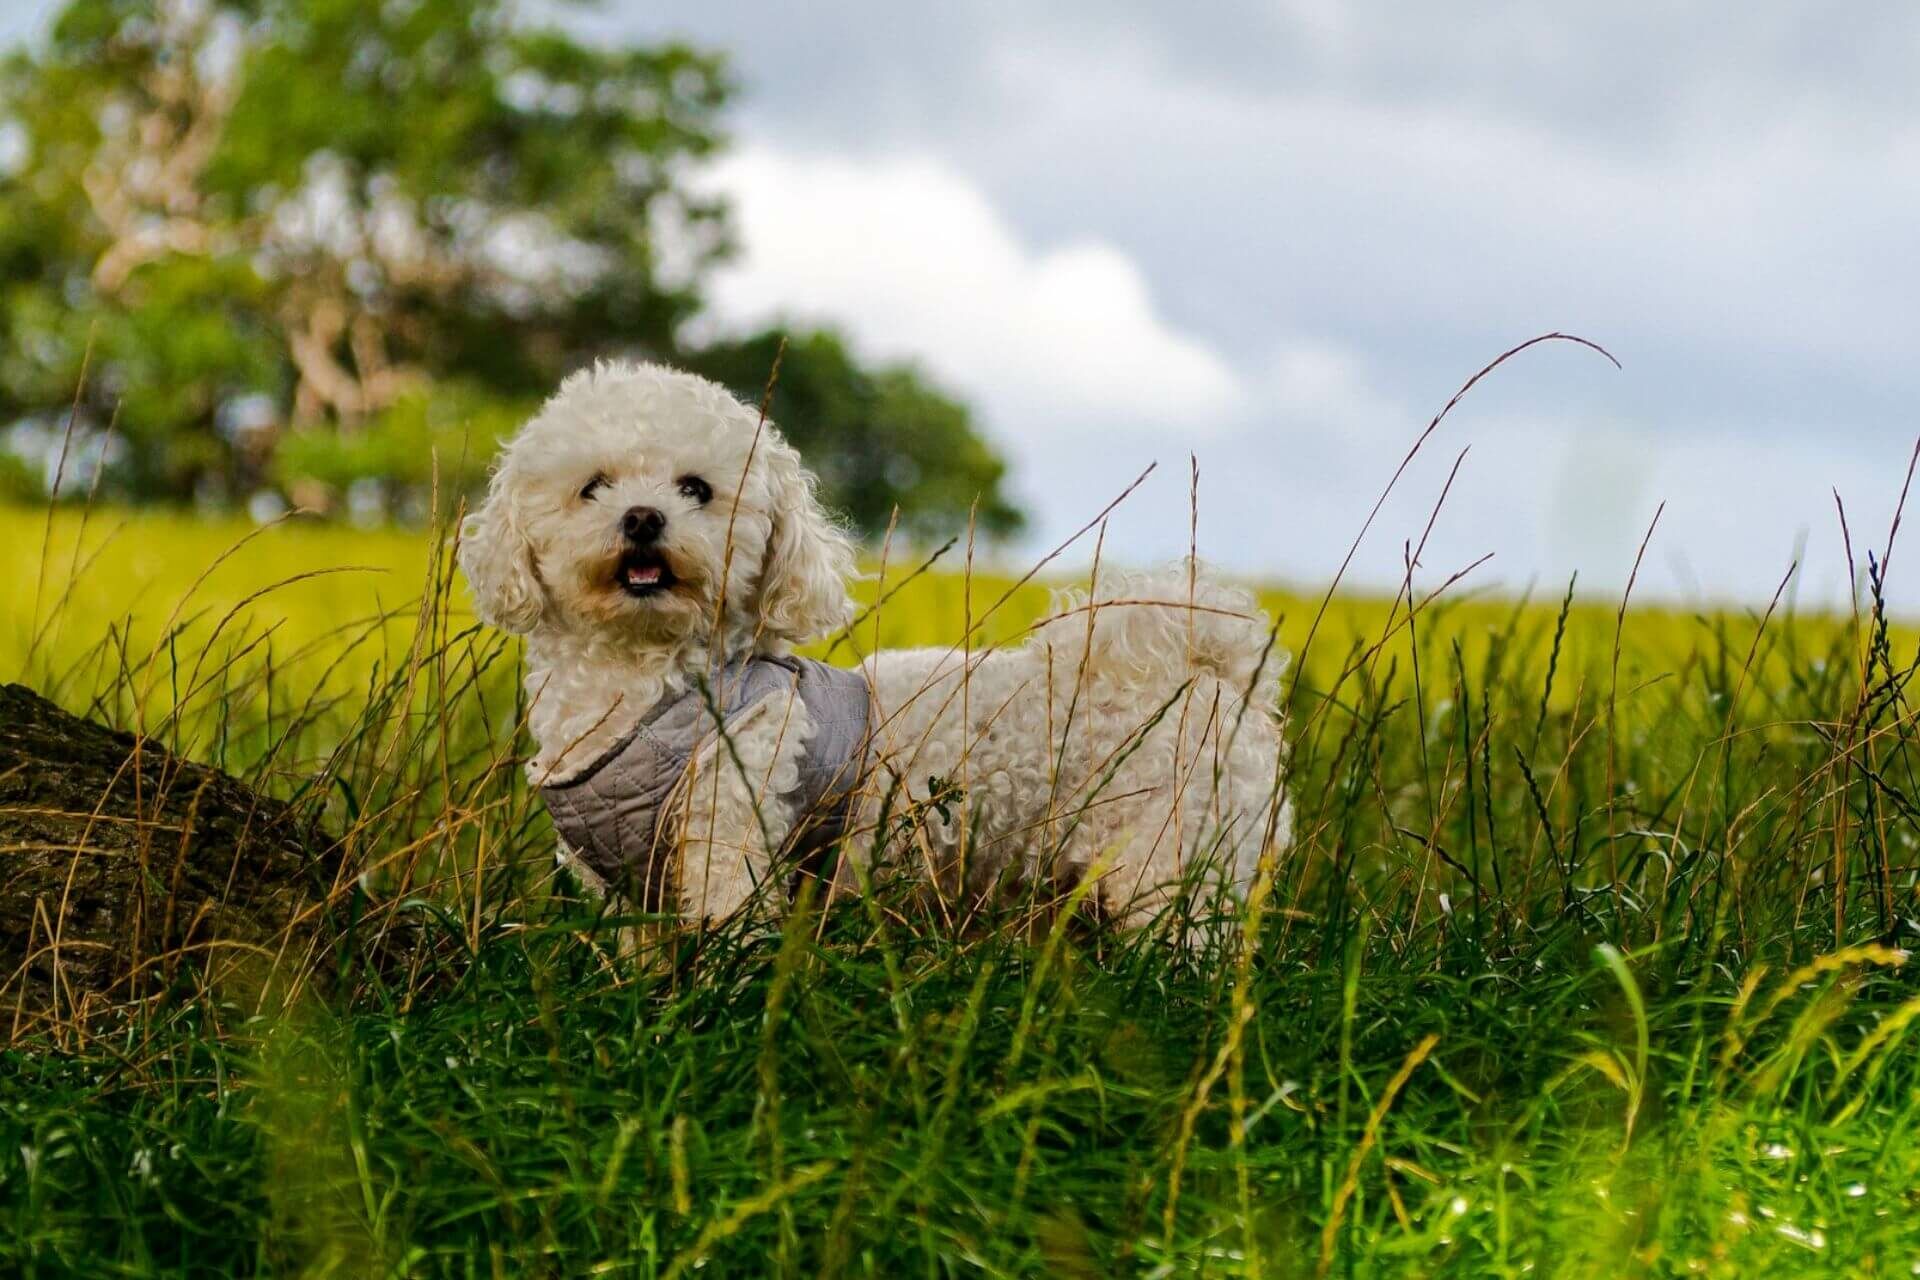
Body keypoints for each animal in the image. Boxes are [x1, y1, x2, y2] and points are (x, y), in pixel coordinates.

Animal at [456, 360, 1290, 932]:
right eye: (592, 486)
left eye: (695, 489)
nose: (641, 518)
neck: (646, 683)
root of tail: (1214, 672)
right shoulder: (627, 889)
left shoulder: (732, 833)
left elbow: (724, 938)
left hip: (1178, 865)